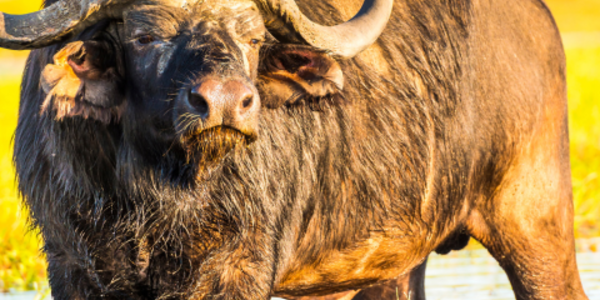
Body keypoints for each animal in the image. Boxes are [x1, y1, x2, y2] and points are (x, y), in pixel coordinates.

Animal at [0, 0, 588, 298]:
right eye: (144, 37)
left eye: (255, 39)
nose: (227, 102)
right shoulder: (72, 263)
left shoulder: (239, 267)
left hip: (538, 229)